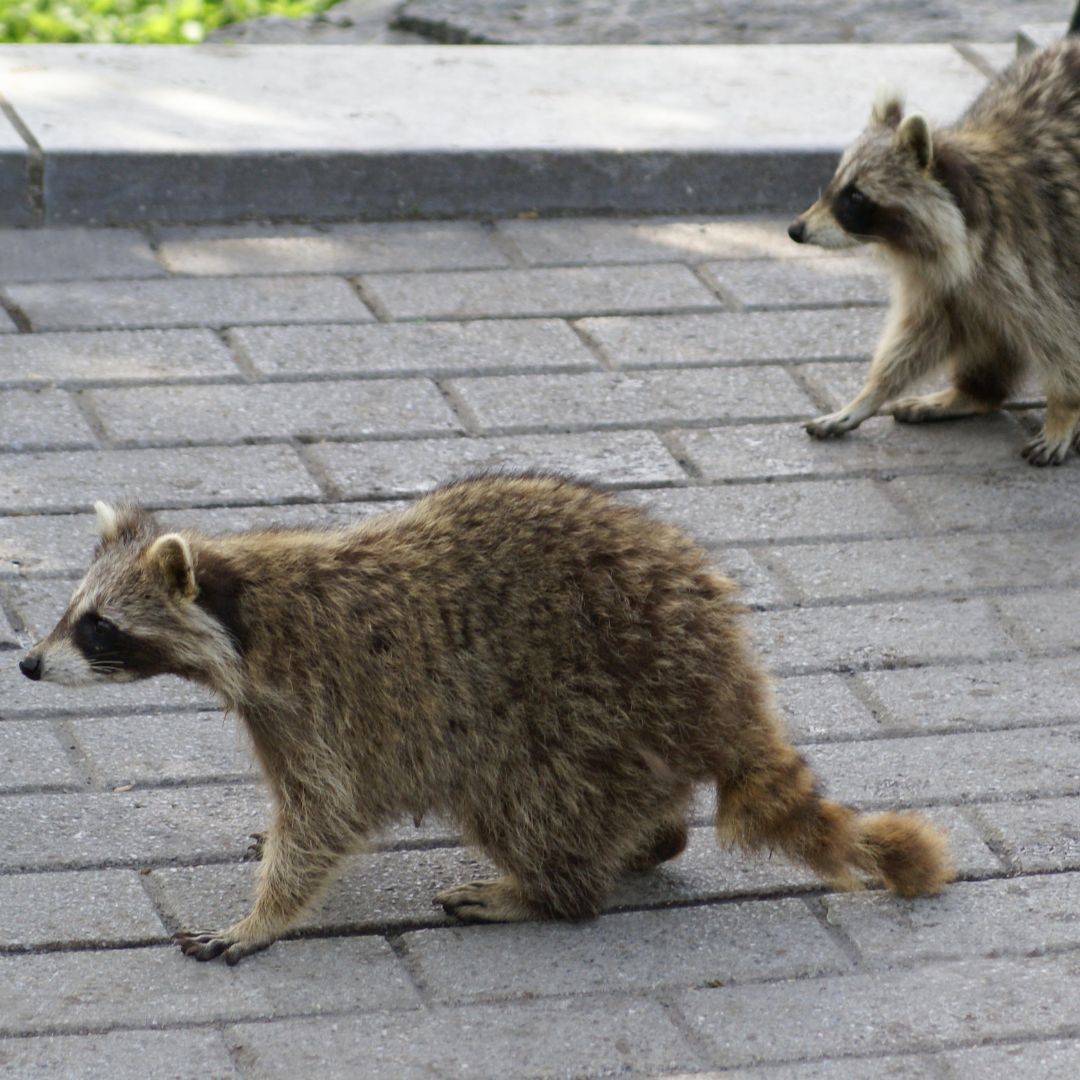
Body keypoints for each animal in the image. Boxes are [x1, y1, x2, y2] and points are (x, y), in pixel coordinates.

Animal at [20, 475, 953, 964]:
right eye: (68, 612)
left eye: (97, 628)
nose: (27, 664)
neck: (243, 605)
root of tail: (727, 681)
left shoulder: (321, 697)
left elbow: (326, 813)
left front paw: (265, 915)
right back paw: (646, 840)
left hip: (587, 706)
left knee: (523, 800)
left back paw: (543, 891)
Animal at [790, 40, 1080, 465]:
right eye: (833, 185)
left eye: (855, 197)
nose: (795, 230)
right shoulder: (943, 277)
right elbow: (923, 331)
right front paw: (870, 394)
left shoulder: (1040, 253)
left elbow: (1061, 333)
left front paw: (1065, 408)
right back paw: (973, 393)